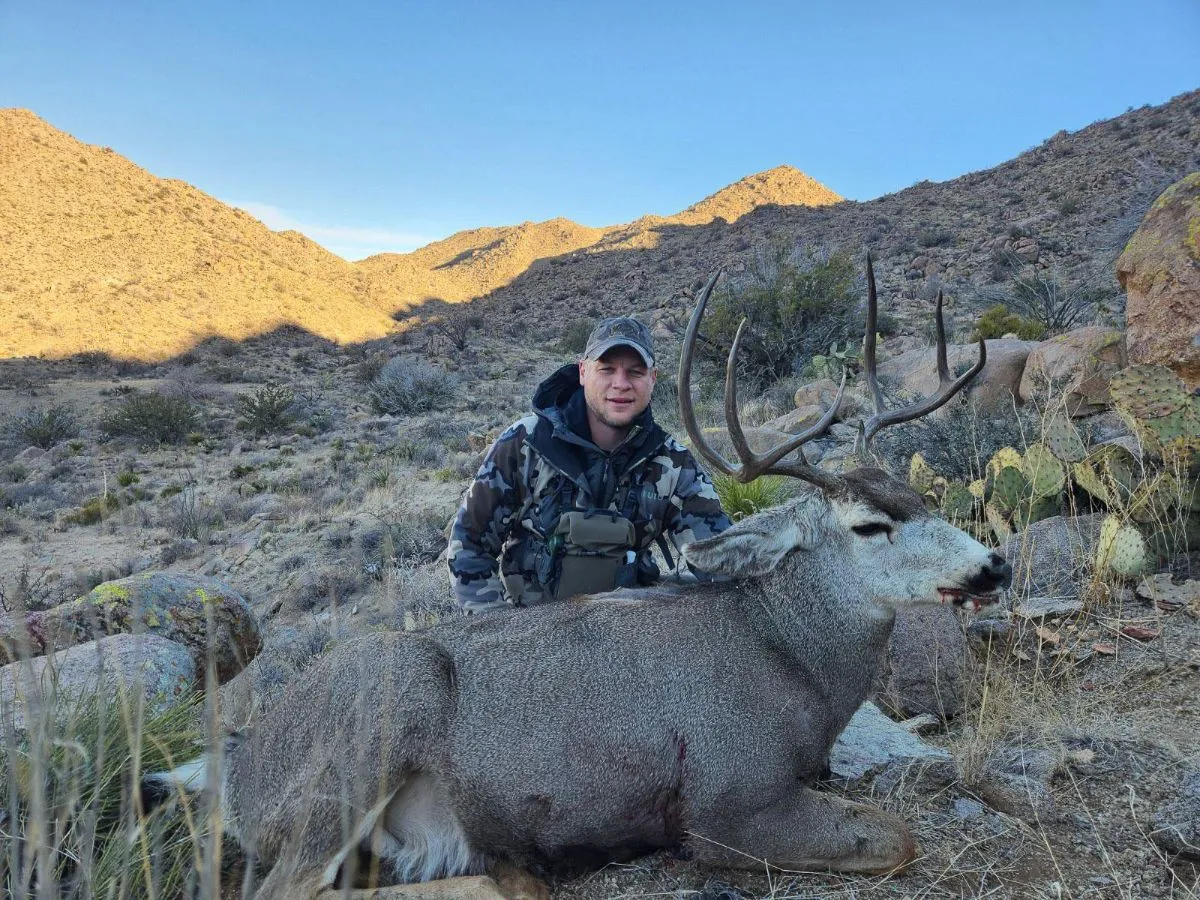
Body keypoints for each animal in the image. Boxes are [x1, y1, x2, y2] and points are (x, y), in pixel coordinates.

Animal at [149, 256, 1012, 900]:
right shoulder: (725, 801)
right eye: (869, 526)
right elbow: (899, 839)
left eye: (920, 497)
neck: (788, 660)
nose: (992, 565)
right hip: (363, 742)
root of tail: (241, 765)